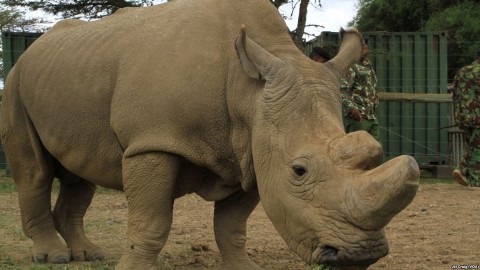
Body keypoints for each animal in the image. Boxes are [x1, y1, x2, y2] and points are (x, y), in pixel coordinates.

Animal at [0, 0, 420, 268]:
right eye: (299, 171)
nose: (361, 255)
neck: (248, 92)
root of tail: (32, 48)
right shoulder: (153, 141)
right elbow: (152, 220)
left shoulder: (251, 150)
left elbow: (232, 226)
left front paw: (244, 268)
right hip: (16, 81)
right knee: (35, 172)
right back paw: (53, 257)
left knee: (81, 173)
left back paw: (88, 255)